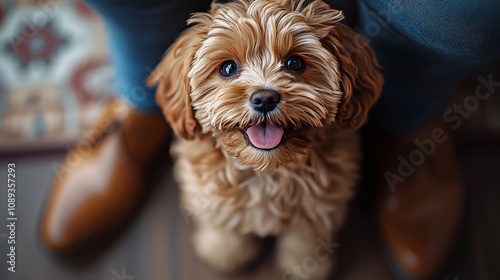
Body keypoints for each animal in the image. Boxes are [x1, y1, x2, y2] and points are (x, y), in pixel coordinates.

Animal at [148, 0, 382, 278]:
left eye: (294, 63)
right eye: (228, 68)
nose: (264, 98)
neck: (266, 171)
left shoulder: (320, 204)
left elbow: (304, 239)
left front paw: (307, 266)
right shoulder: (207, 191)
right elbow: (223, 224)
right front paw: (223, 253)